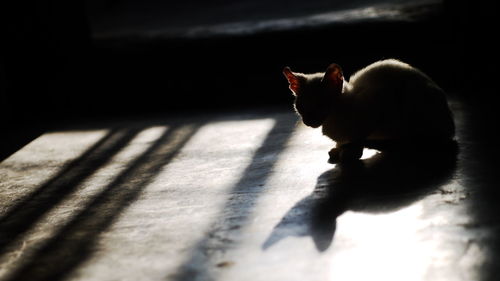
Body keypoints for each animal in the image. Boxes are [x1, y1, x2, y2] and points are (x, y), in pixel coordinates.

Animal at [284, 59, 456, 163]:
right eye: (301, 106)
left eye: (321, 104)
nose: (308, 121)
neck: (332, 121)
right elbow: (343, 141)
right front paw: (338, 149)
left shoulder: (378, 106)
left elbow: (357, 139)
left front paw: (349, 153)